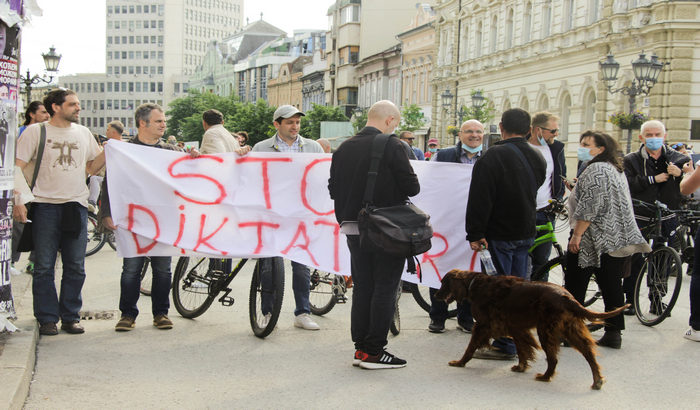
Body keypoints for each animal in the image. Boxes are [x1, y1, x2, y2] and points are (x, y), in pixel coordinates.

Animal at [438, 270, 628, 390]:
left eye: (443, 283)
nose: (435, 295)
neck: (474, 285)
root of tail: (566, 296)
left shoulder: (483, 325)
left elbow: (470, 347)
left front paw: (460, 362)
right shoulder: (516, 327)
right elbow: (522, 349)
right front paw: (521, 366)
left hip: (546, 331)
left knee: (553, 359)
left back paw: (545, 376)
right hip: (570, 330)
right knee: (588, 353)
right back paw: (597, 381)